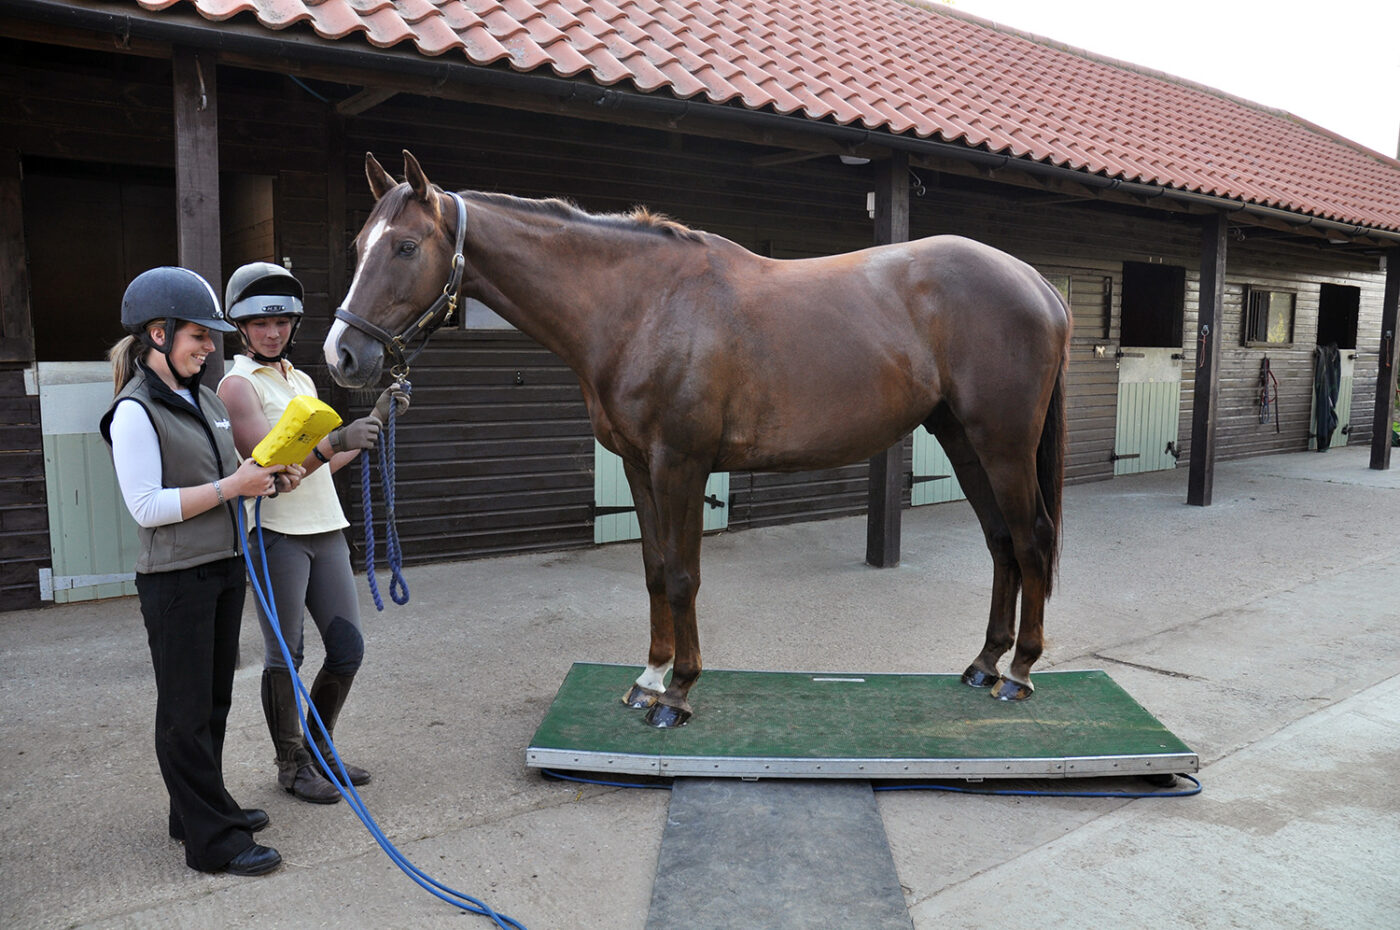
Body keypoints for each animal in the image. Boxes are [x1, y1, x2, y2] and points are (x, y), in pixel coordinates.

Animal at [325, 151, 1071, 728]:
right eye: (358, 246)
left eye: (406, 246)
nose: (343, 357)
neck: (641, 306)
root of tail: (1036, 282)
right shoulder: (636, 466)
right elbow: (655, 569)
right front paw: (649, 679)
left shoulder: (680, 464)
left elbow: (683, 575)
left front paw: (678, 694)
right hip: (963, 440)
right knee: (1002, 541)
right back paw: (984, 662)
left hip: (1003, 444)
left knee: (1031, 536)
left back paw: (1019, 671)